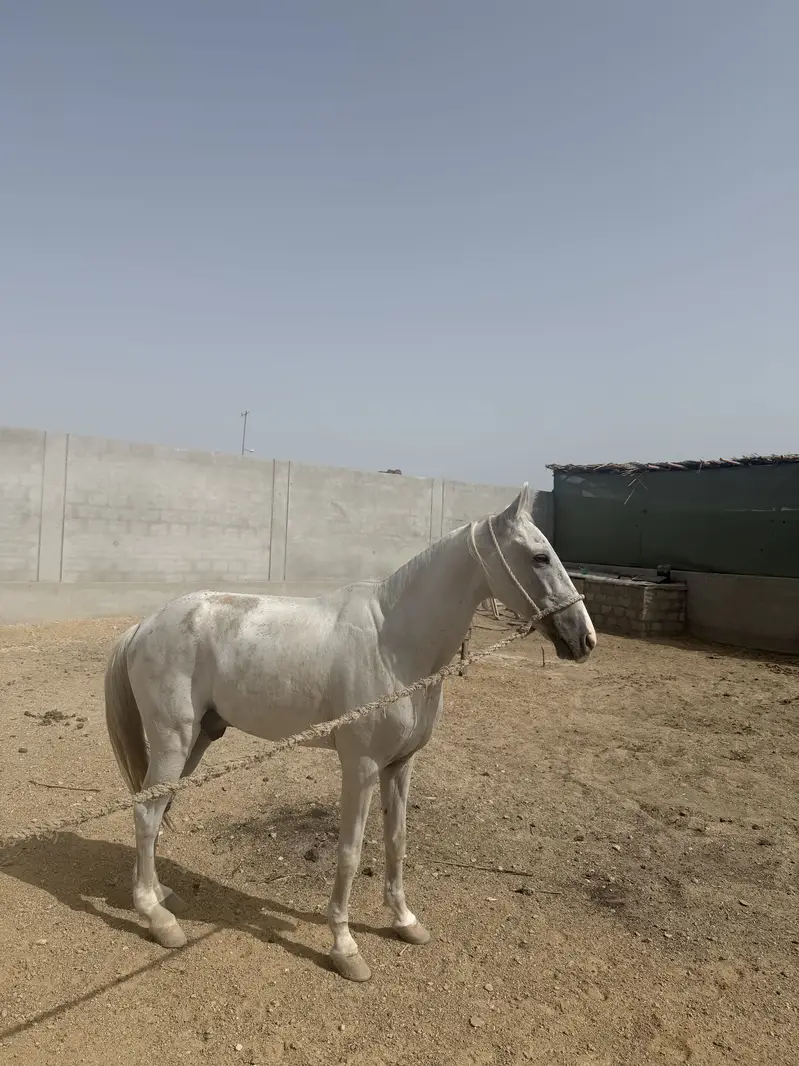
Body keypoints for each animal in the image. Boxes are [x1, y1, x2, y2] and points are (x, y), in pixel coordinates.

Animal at [104, 483, 596, 981]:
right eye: (540, 557)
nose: (584, 639)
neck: (393, 643)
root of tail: (144, 626)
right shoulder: (360, 768)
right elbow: (351, 852)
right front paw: (344, 947)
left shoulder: (399, 766)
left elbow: (396, 841)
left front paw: (405, 922)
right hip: (173, 741)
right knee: (146, 815)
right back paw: (158, 919)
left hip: (198, 741)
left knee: (154, 812)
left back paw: (159, 896)